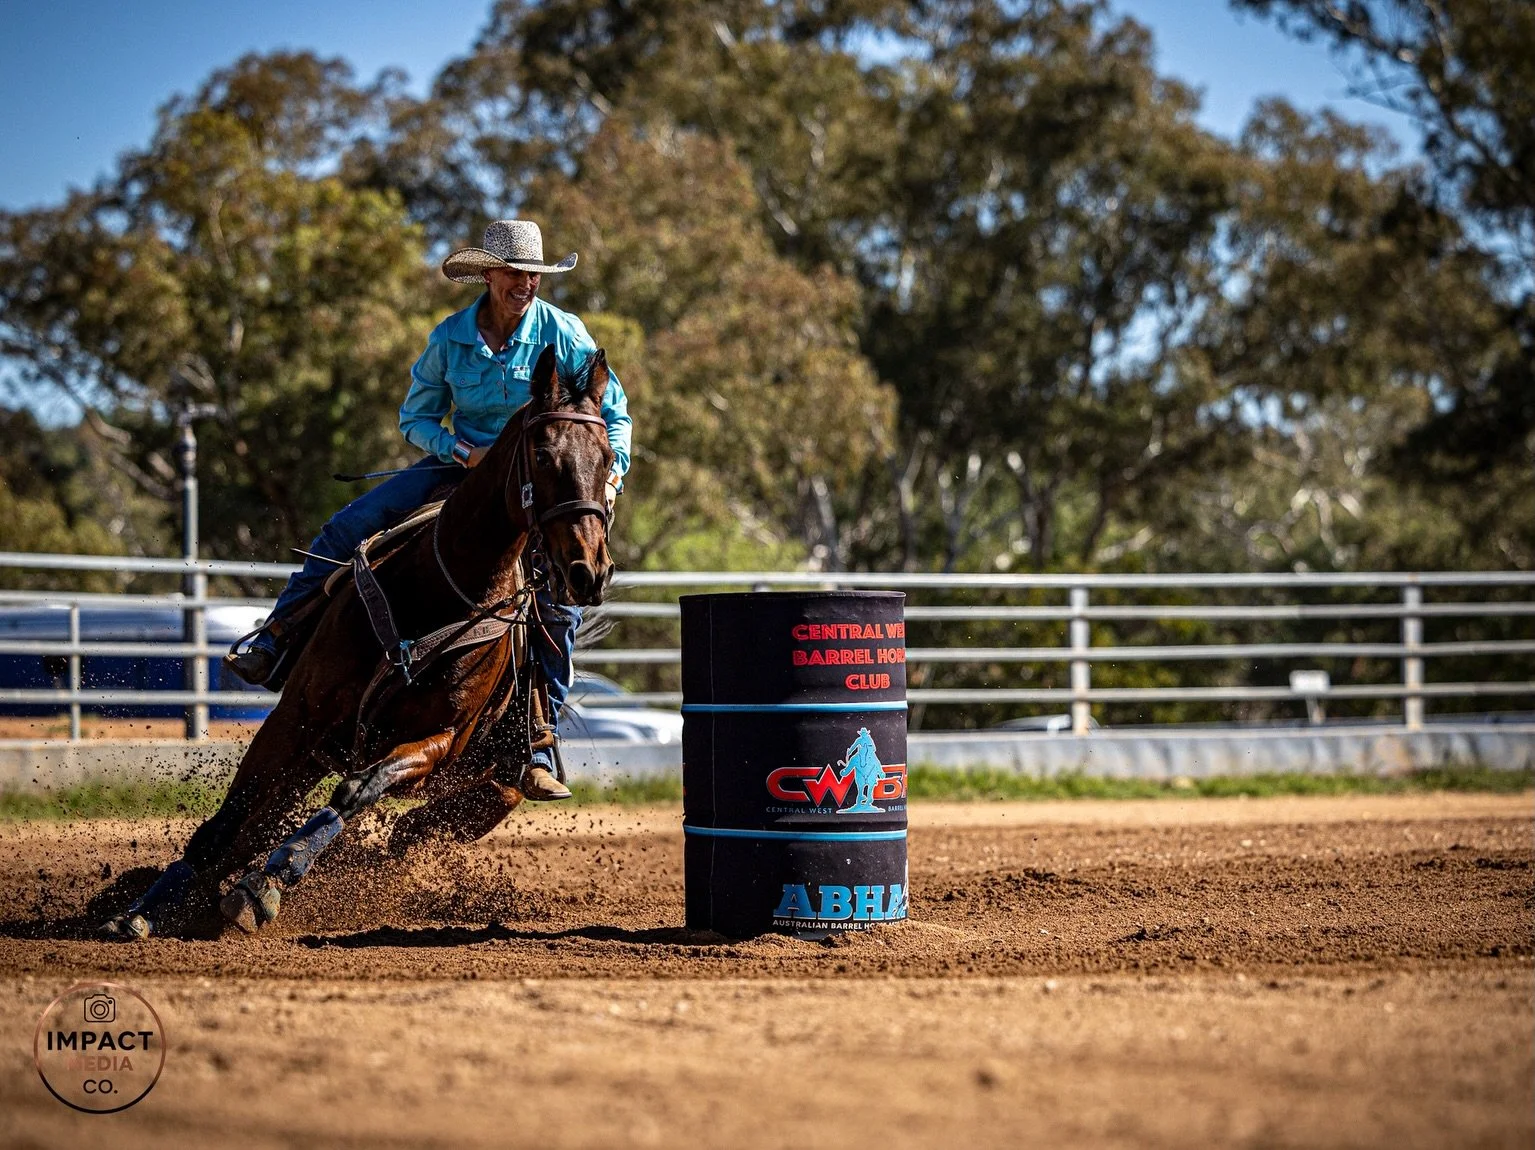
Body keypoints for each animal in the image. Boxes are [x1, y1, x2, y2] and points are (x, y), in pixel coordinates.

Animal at [101, 344, 615, 940]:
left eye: (608, 458)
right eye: (543, 453)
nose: (587, 571)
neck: (436, 590)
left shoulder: (437, 741)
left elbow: (356, 791)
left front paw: (264, 885)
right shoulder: (297, 718)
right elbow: (228, 819)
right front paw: (143, 909)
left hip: (490, 793)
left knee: (399, 837)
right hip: (319, 751)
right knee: (261, 825)